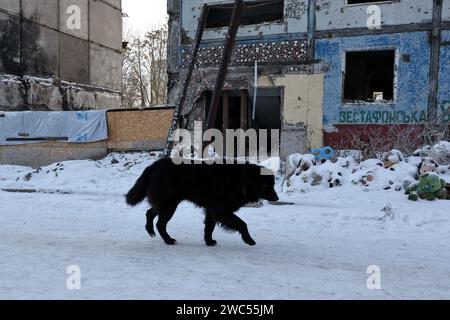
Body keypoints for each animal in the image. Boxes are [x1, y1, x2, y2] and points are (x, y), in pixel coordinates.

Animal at [124, 159, 278, 246]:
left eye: (273, 184)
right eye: (266, 186)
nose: (277, 198)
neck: (240, 181)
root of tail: (154, 165)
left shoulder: (212, 210)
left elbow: (209, 227)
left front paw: (209, 242)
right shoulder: (221, 211)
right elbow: (242, 224)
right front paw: (249, 240)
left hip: (167, 203)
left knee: (150, 213)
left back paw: (151, 232)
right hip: (168, 205)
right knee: (159, 223)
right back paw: (168, 240)